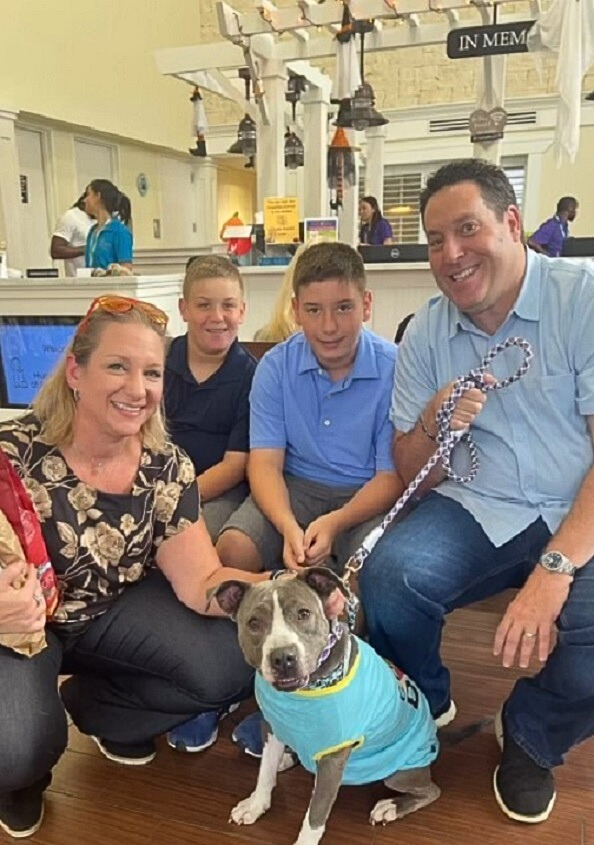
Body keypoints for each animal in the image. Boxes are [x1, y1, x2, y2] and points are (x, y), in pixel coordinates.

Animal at [212, 564, 440, 844]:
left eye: (303, 613)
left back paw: (392, 806)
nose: (283, 658)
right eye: (253, 623)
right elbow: (264, 773)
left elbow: (315, 814)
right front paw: (256, 805)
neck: (303, 691)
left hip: (400, 772)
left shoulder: (332, 758)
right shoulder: (272, 728)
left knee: (430, 791)